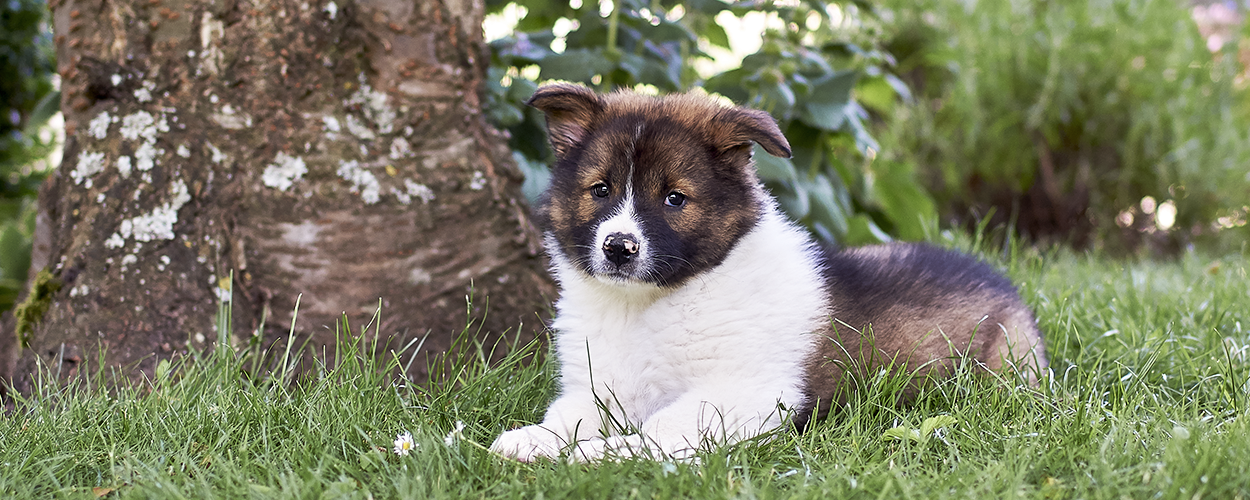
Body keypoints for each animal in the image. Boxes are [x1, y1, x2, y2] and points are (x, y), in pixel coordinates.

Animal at [487, 83, 1045, 460]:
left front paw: (597, 457)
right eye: (600, 190)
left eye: (674, 198)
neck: (648, 304)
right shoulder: (600, 388)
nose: (619, 248)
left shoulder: (745, 393)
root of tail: (998, 279)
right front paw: (529, 441)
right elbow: (567, 416)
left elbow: (660, 428)